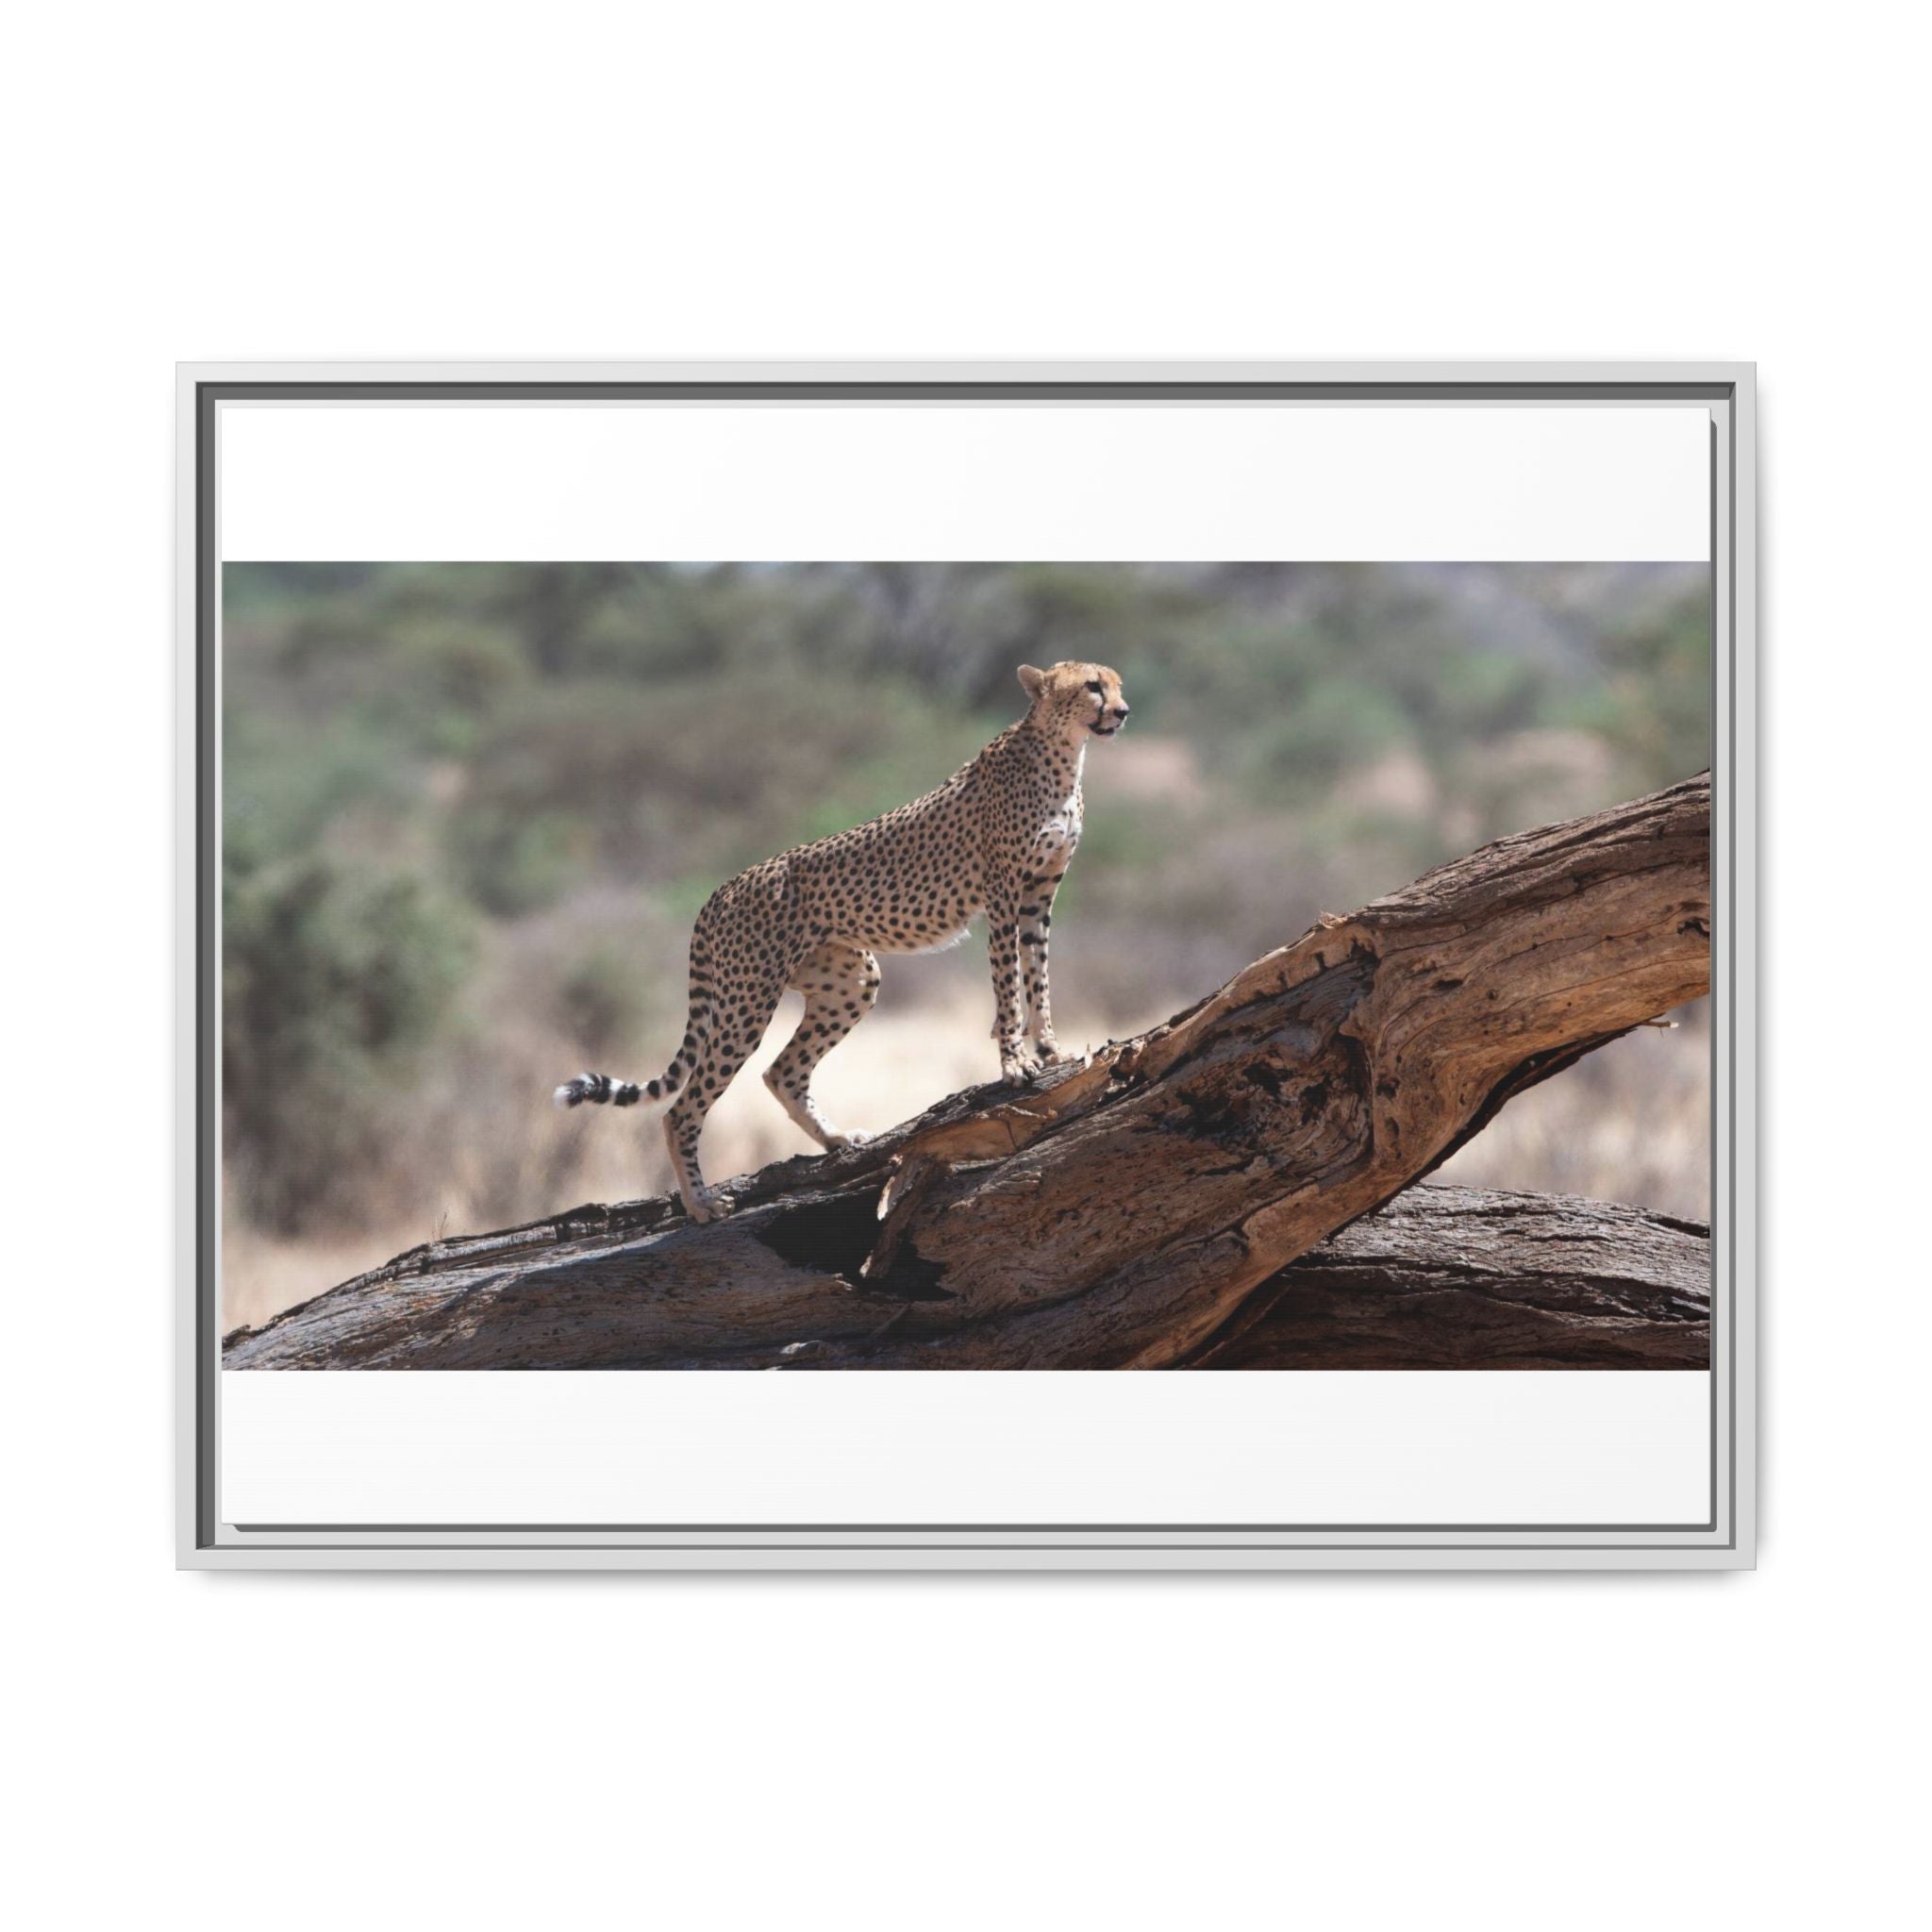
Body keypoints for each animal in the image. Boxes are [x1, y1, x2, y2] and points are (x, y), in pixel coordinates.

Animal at [554, 659, 1131, 1222]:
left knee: (782, 1072)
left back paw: (836, 1140)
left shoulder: (1039, 895)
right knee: (682, 1107)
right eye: (1092, 686)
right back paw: (701, 1203)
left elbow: (1038, 975)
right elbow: (1008, 984)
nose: (1123, 711)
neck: (1063, 753)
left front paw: (1051, 1048)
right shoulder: (1004, 894)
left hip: (851, 979)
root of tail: (722, 888)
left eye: (1117, 684)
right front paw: (1014, 1063)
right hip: (747, 999)